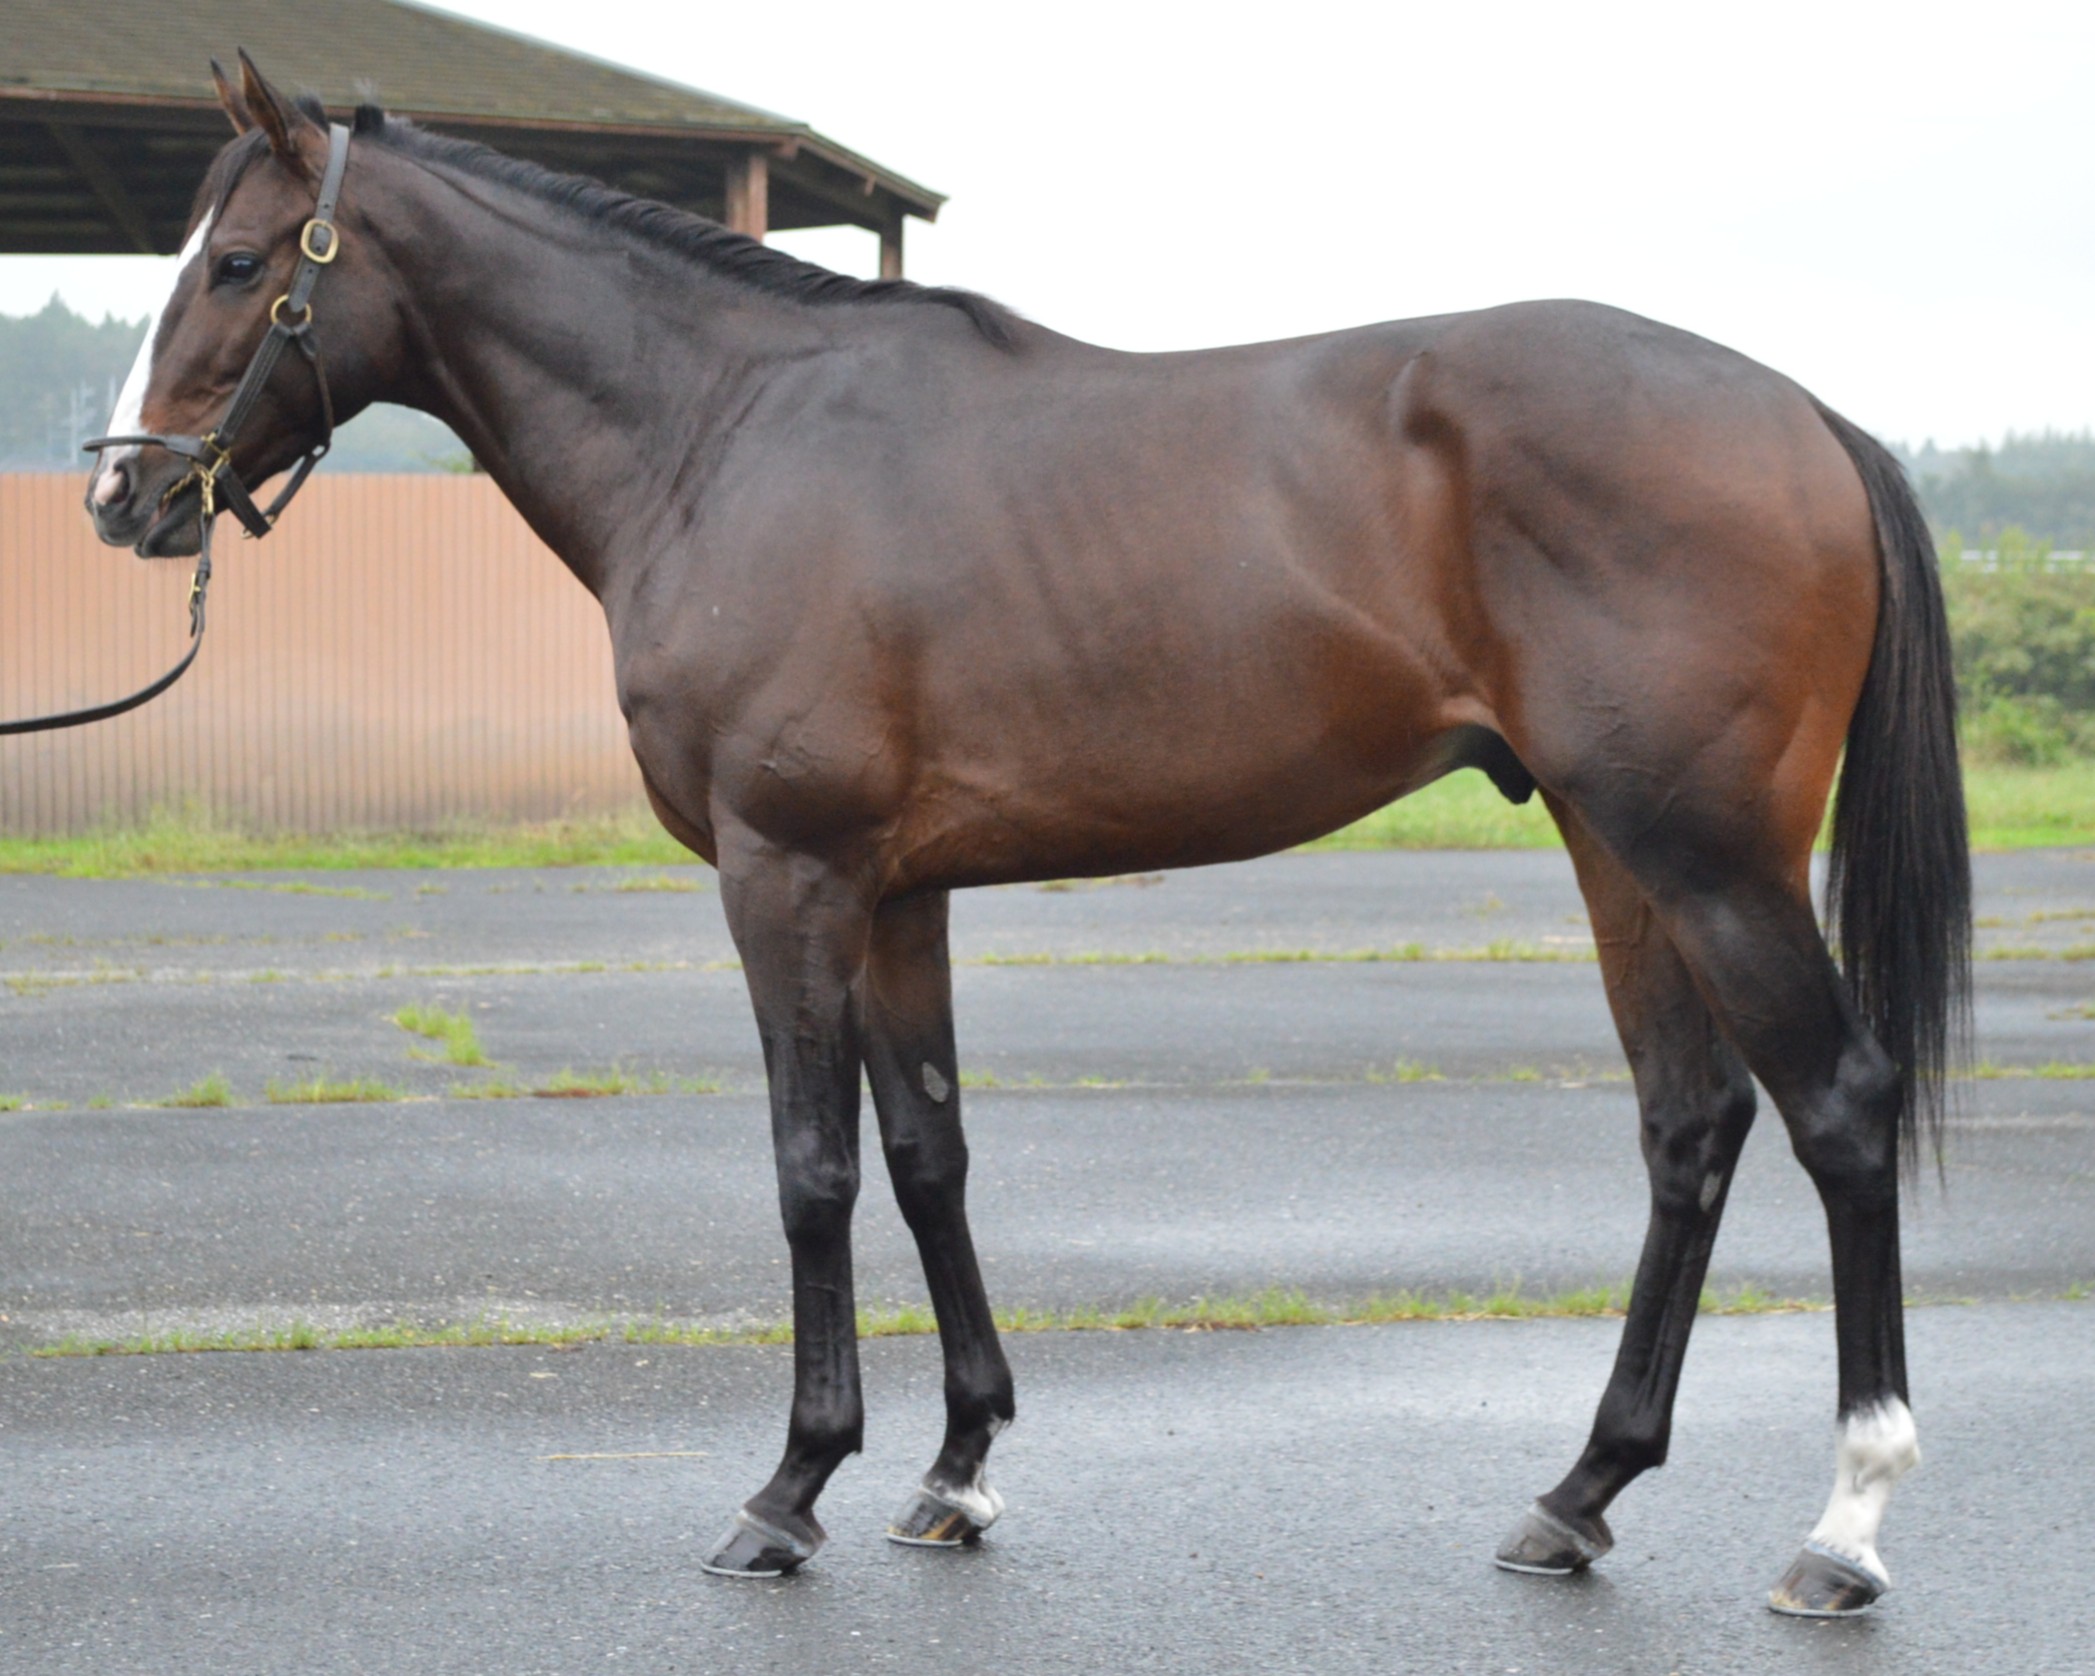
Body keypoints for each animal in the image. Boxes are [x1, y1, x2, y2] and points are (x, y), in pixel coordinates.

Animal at [82, 53, 1969, 1616]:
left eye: (238, 263)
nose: (123, 492)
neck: (725, 435)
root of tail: (1804, 415)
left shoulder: (789, 875)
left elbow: (812, 1168)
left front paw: (787, 1491)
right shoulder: (896, 893)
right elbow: (927, 1153)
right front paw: (953, 1473)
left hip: (1706, 855)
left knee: (1837, 1108)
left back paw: (1844, 1525)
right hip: (1613, 844)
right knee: (1690, 1126)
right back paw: (1576, 1498)